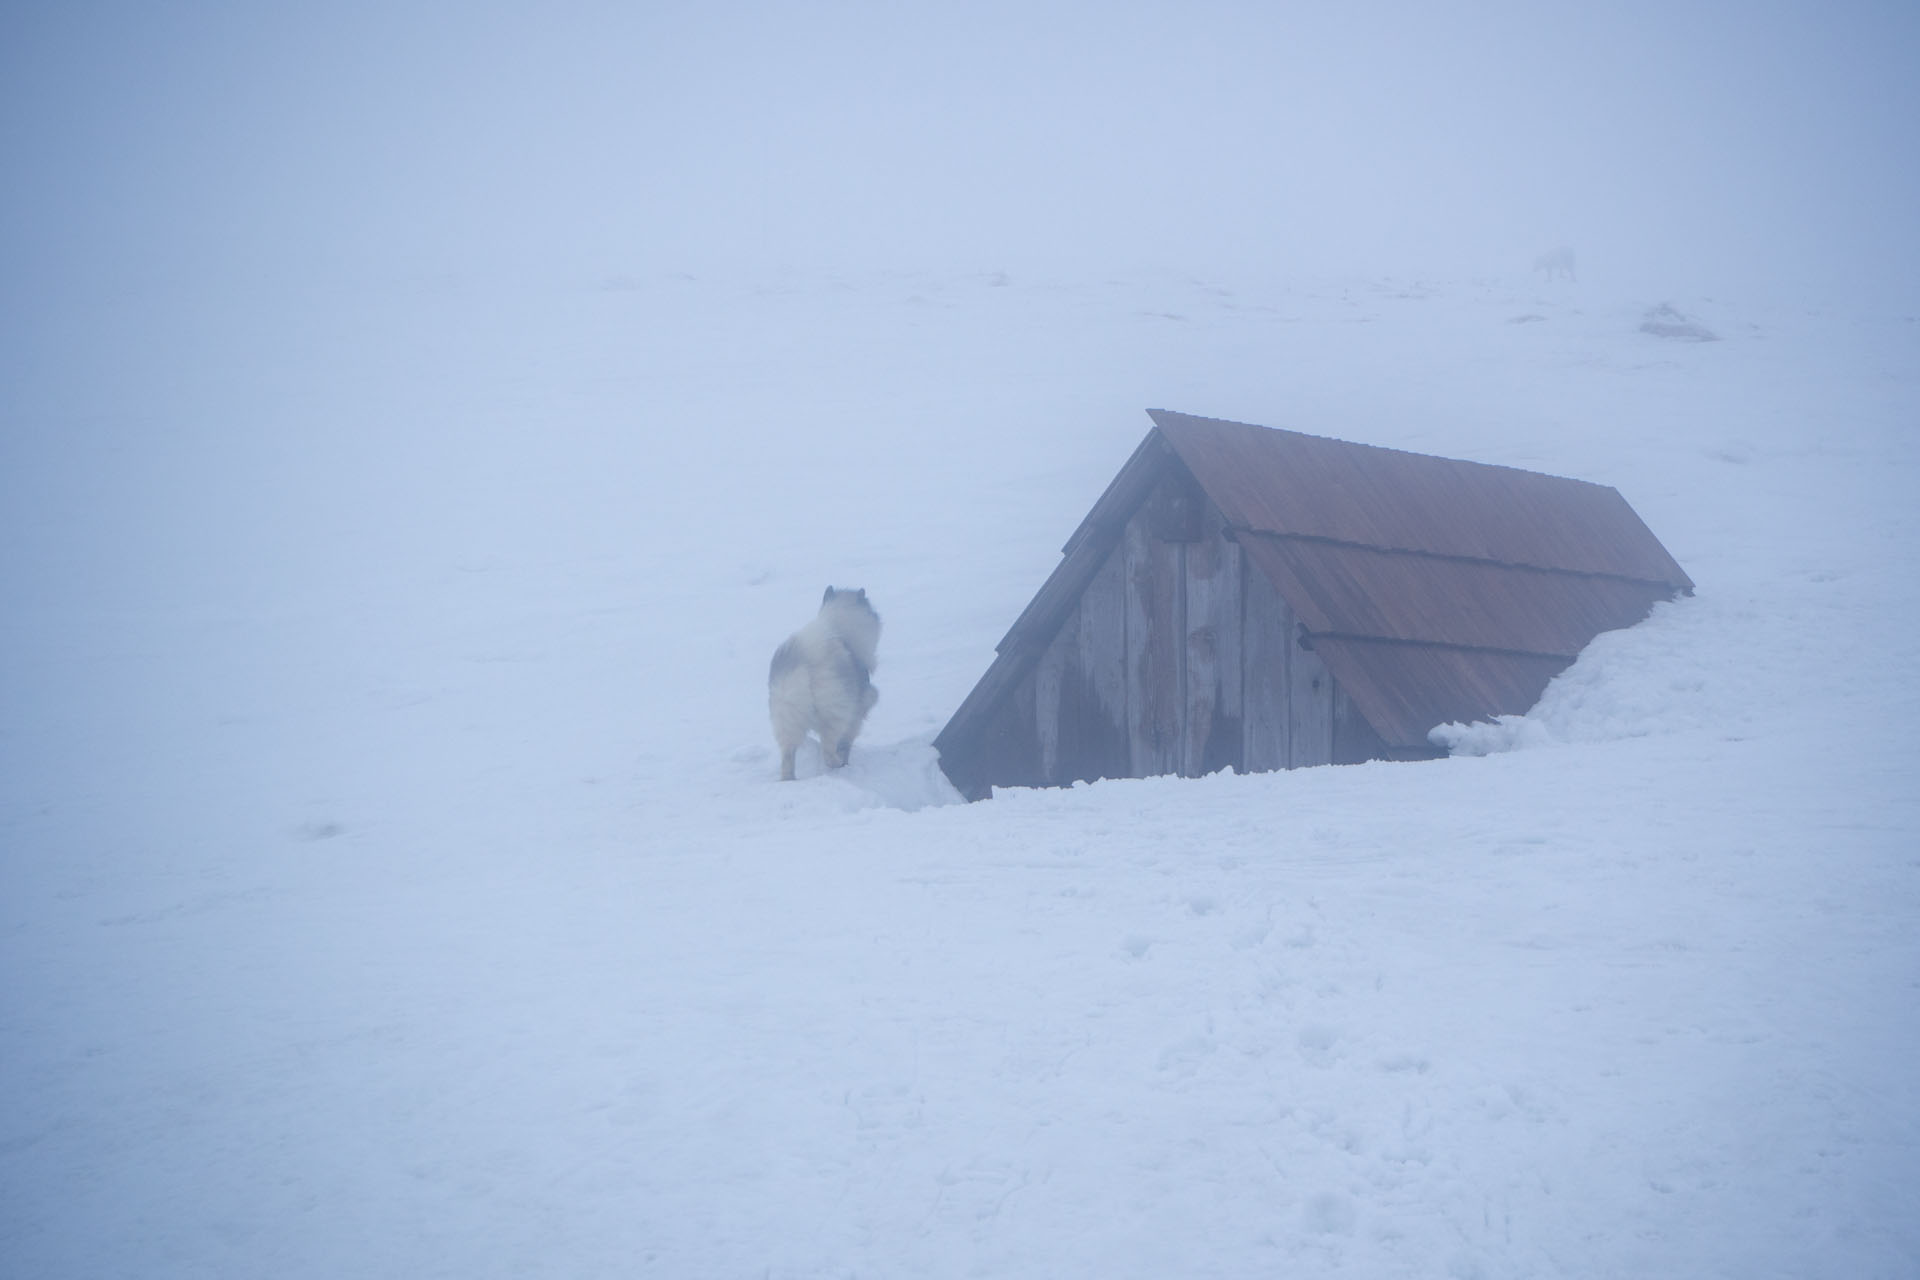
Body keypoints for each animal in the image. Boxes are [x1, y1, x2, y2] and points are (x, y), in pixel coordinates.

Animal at [768, 587, 879, 782]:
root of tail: (806, 659)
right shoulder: (856, 716)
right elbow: (847, 743)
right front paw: (845, 762)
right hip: (836, 715)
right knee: (828, 750)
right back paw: (837, 762)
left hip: (786, 718)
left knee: (788, 755)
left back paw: (789, 780)